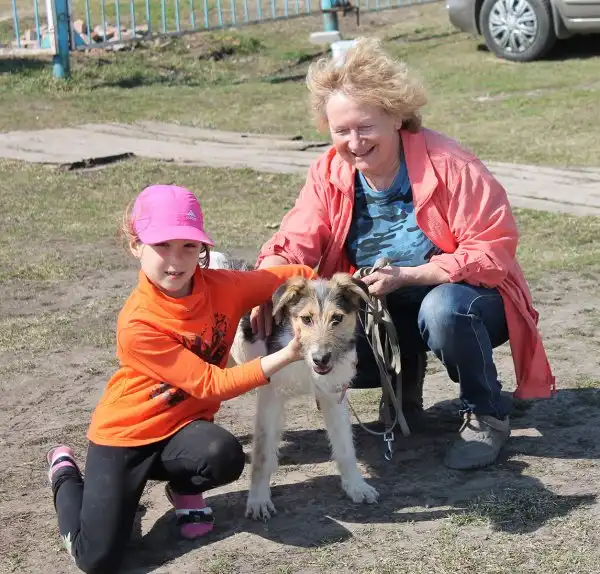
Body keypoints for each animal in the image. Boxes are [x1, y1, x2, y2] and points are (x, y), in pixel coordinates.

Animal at [210, 252, 378, 520]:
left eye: (337, 318)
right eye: (306, 319)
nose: (321, 359)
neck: (302, 360)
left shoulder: (334, 396)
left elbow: (345, 447)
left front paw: (356, 486)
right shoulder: (270, 398)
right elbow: (262, 455)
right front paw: (258, 500)